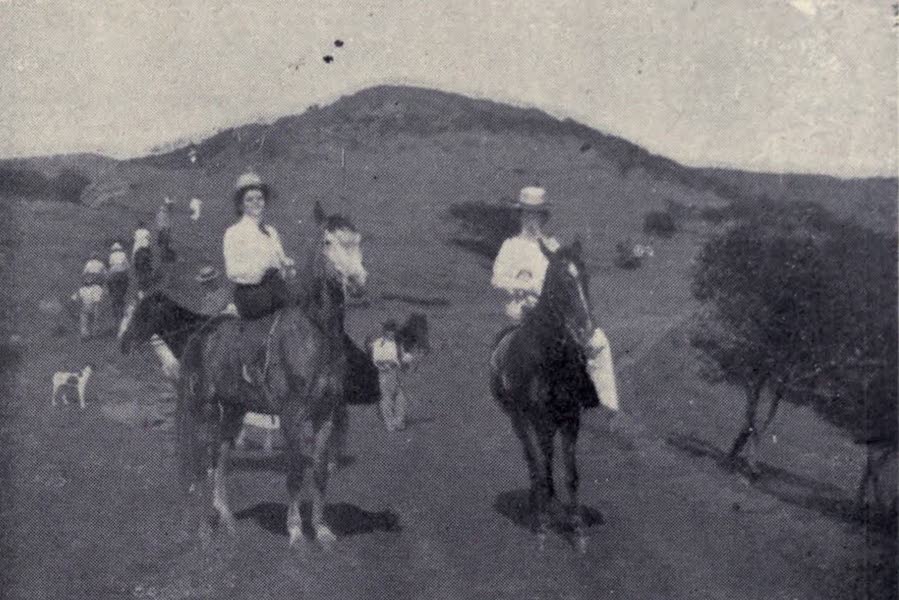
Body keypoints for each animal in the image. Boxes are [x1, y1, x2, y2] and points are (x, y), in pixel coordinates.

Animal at [492, 239, 596, 552]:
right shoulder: (541, 422)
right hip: (519, 419)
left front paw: (578, 530)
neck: (551, 362)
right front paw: (542, 526)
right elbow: (544, 469)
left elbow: (571, 475)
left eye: (585, 277)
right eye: (563, 282)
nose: (585, 329)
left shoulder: (571, 420)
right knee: (534, 462)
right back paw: (538, 507)